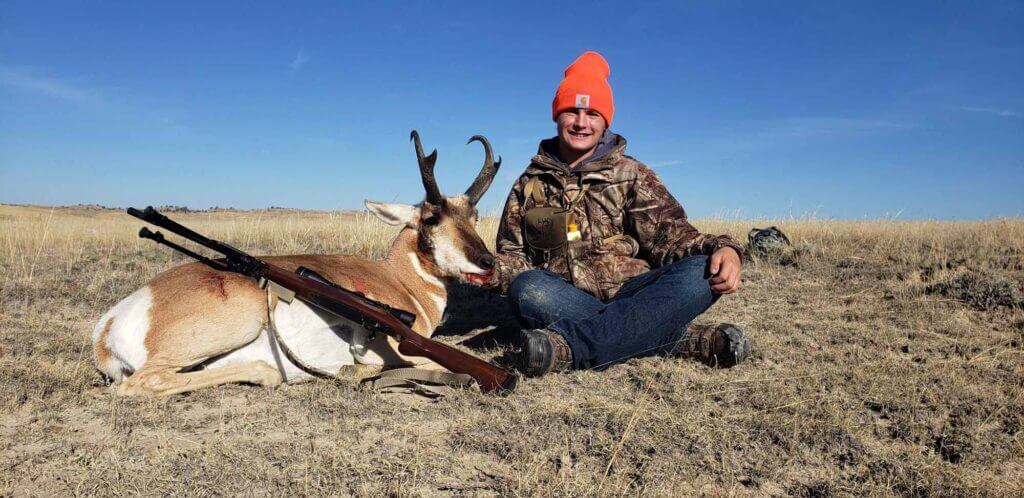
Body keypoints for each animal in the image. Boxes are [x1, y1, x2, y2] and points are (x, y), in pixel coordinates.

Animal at [92, 131, 501, 396]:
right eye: (431, 218)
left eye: (475, 216)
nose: (488, 263)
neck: (398, 281)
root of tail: (108, 324)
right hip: (239, 325)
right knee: (143, 383)